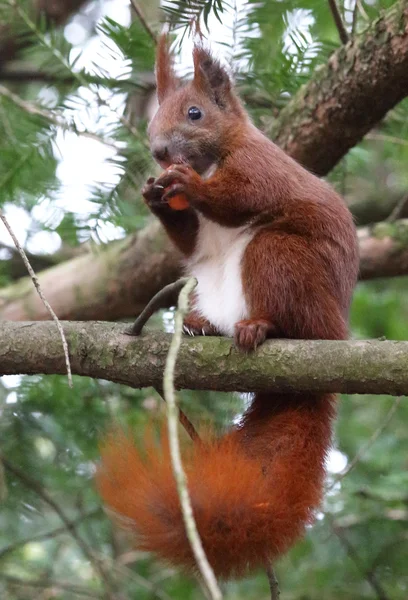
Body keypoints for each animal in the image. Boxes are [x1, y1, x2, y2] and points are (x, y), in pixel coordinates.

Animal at [97, 38, 358, 580]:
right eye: (154, 118)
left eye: (194, 113)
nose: (158, 151)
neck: (211, 161)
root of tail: (334, 335)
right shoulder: (195, 237)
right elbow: (188, 237)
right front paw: (154, 195)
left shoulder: (260, 167)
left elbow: (241, 196)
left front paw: (188, 188)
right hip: (210, 284)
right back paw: (202, 327)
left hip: (280, 260)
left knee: (290, 316)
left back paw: (259, 326)